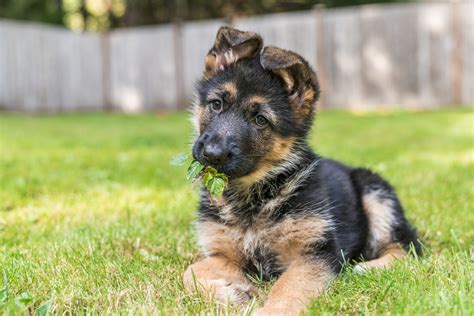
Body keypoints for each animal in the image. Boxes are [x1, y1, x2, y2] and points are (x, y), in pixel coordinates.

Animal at [182, 26, 422, 314]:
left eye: (260, 120)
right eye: (216, 104)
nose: (212, 154)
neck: (254, 195)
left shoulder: (315, 254)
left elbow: (288, 289)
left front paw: (268, 308)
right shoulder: (224, 254)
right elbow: (189, 272)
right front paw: (233, 295)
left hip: (375, 194)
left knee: (408, 247)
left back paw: (369, 268)